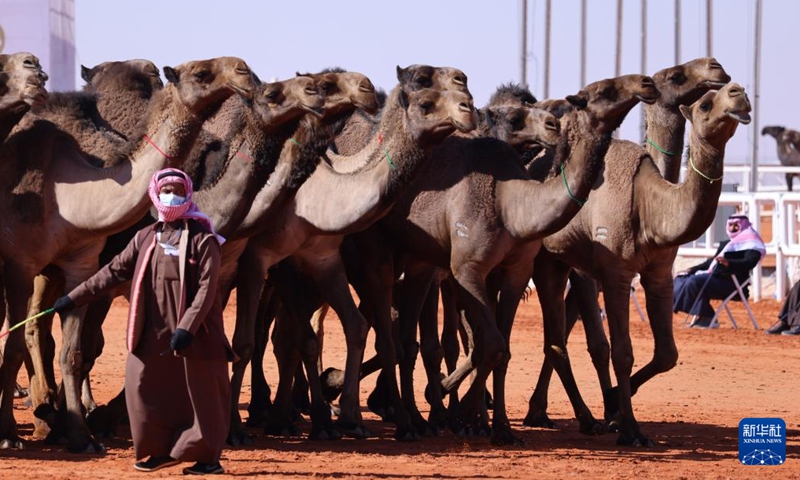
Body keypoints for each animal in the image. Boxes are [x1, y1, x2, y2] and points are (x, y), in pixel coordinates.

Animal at [0, 56, 257, 452]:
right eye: (201, 73)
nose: (244, 70)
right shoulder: (19, 265)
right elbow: (15, 344)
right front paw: (9, 433)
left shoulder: (80, 265)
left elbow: (73, 352)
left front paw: (81, 434)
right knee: (30, 332)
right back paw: (41, 415)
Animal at [530, 82, 750, 447]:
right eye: (705, 105)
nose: (739, 91)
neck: (648, 204)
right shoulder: (617, 273)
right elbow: (622, 352)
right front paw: (630, 428)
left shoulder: (659, 274)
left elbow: (667, 354)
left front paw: (615, 408)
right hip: (543, 260)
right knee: (556, 340)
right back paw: (581, 418)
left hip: (565, 263)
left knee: (559, 338)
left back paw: (551, 414)